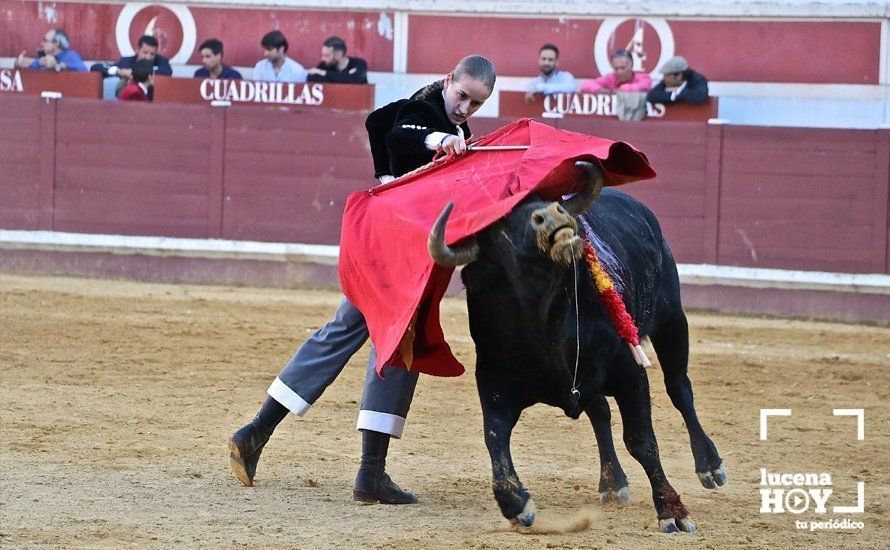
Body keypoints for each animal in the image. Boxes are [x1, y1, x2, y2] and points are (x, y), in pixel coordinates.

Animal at [426, 162, 724, 532]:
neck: (547, 320)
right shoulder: (494, 383)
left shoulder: (629, 372)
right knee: (601, 411)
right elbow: (494, 436)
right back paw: (612, 483)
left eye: (543, 196)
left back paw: (709, 465)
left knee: (680, 388)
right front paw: (515, 504)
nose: (553, 214)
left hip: (672, 319)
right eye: (499, 224)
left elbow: (642, 441)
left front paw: (673, 510)